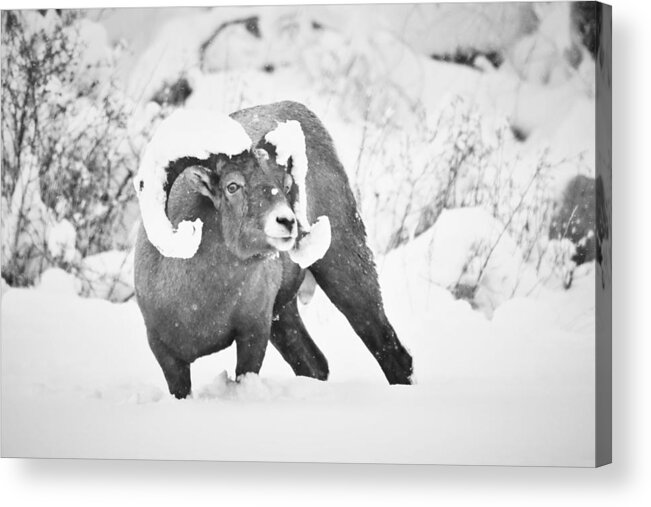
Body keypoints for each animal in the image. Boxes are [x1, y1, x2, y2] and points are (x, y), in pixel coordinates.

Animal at [135, 101, 416, 398]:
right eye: (232, 186)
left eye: (286, 185)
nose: (287, 221)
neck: (199, 305)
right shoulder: (168, 358)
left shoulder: (254, 335)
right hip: (285, 317)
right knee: (314, 364)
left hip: (345, 272)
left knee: (391, 352)